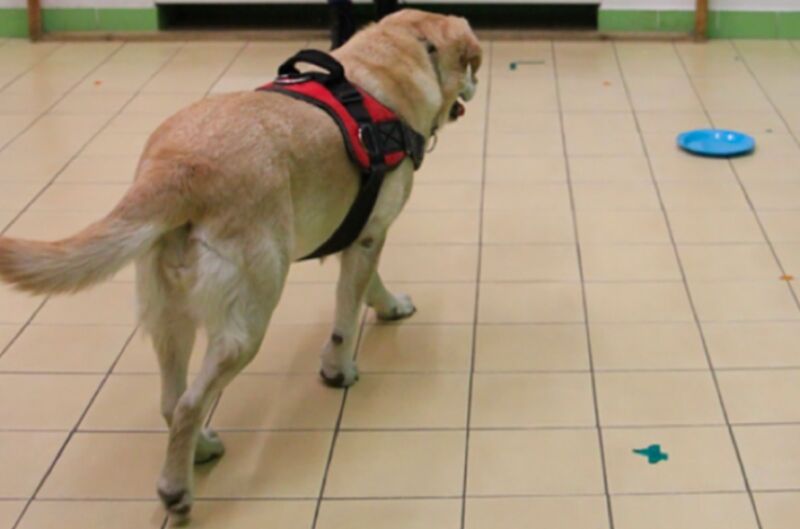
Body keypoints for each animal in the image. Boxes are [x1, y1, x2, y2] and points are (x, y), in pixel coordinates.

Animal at [0, 9, 482, 524]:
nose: (475, 85)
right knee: (190, 403)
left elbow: (368, 286)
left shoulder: (361, 234)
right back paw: (176, 488)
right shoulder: (371, 233)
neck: (396, 58)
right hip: (248, 317)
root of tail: (177, 168)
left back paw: (199, 449)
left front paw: (387, 307)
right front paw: (339, 368)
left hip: (167, 313)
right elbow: (346, 317)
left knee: (172, 399)